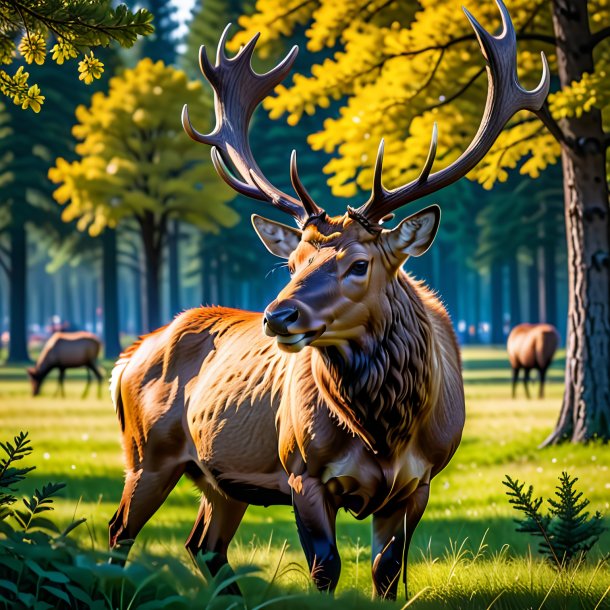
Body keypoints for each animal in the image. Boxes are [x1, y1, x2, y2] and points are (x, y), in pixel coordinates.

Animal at [107, 0, 548, 600]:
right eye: (292, 264)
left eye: (359, 264)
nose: (278, 316)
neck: (385, 431)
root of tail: (129, 356)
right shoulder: (303, 472)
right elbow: (325, 569)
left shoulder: (420, 482)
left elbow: (387, 573)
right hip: (146, 454)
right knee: (121, 532)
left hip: (220, 478)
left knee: (204, 545)